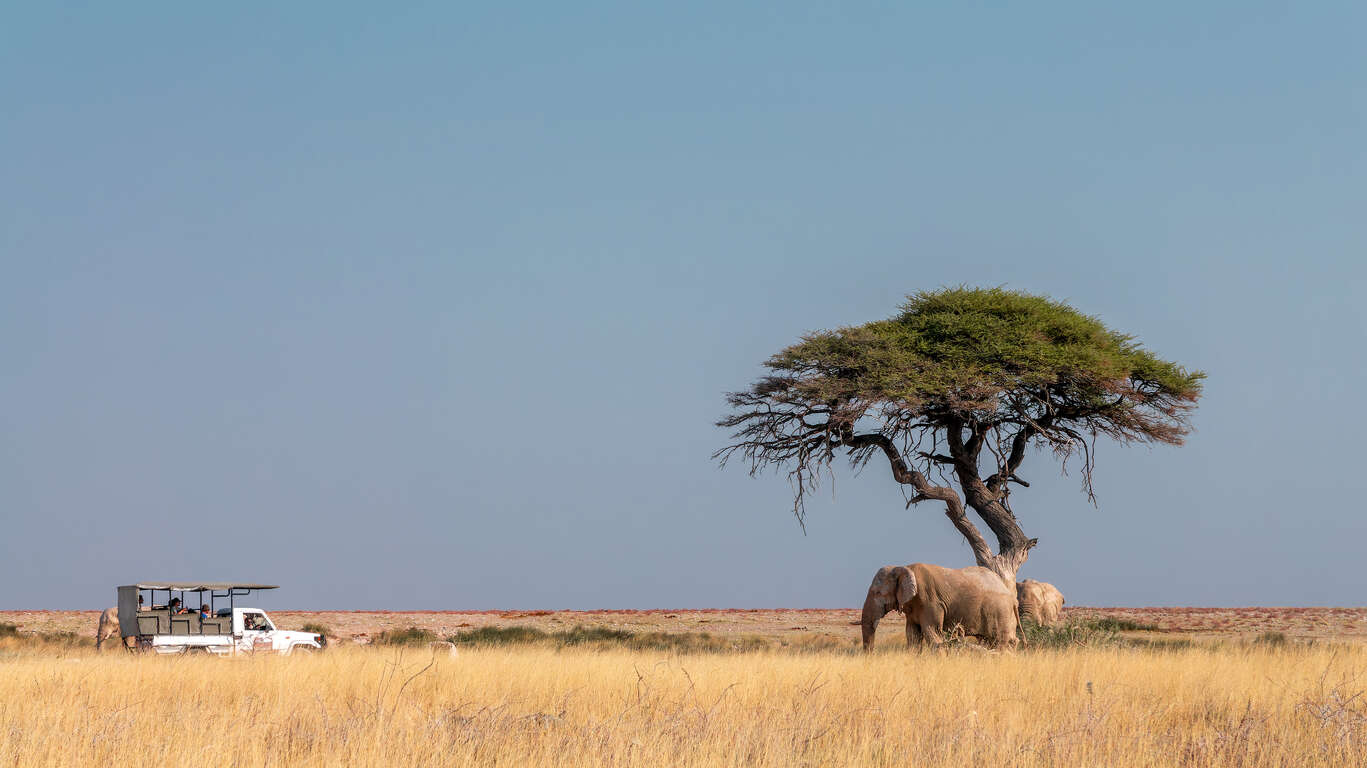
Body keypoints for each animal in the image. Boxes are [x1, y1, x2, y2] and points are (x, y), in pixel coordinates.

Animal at [858, 560, 1022, 647]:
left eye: (878, 593)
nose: (870, 654)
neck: (905, 568)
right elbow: (913, 635)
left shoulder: (931, 601)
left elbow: (932, 633)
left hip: (1000, 611)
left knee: (1001, 640)